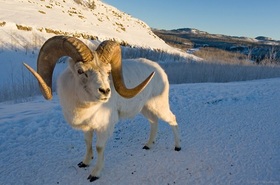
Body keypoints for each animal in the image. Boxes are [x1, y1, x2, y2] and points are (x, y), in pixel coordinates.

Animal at [23, 35, 182, 181]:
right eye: (80, 71)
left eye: (108, 72)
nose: (105, 91)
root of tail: (160, 70)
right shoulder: (87, 127)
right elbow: (88, 143)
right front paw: (85, 163)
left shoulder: (104, 128)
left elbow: (99, 148)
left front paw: (95, 174)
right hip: (146, 109)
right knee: (154, 122)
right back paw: (148, 145)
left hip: (160, 106)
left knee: (172, 119)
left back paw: (177, 147)